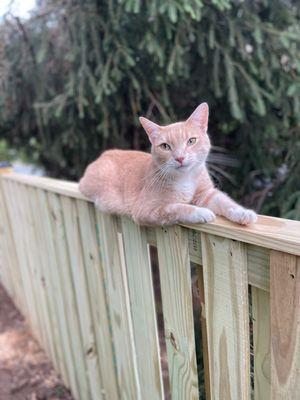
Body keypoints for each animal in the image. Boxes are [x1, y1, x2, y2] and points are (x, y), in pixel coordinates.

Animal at [78, 104, 256, 225]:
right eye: (165, 146)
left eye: (191, 141)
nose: (180, 158)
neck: (185, 179)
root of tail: (104, 154)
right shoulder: (147, 210)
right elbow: (177, 207)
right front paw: (200, 212)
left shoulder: (207, 193)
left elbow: (225, 202)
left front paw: (243, 213)